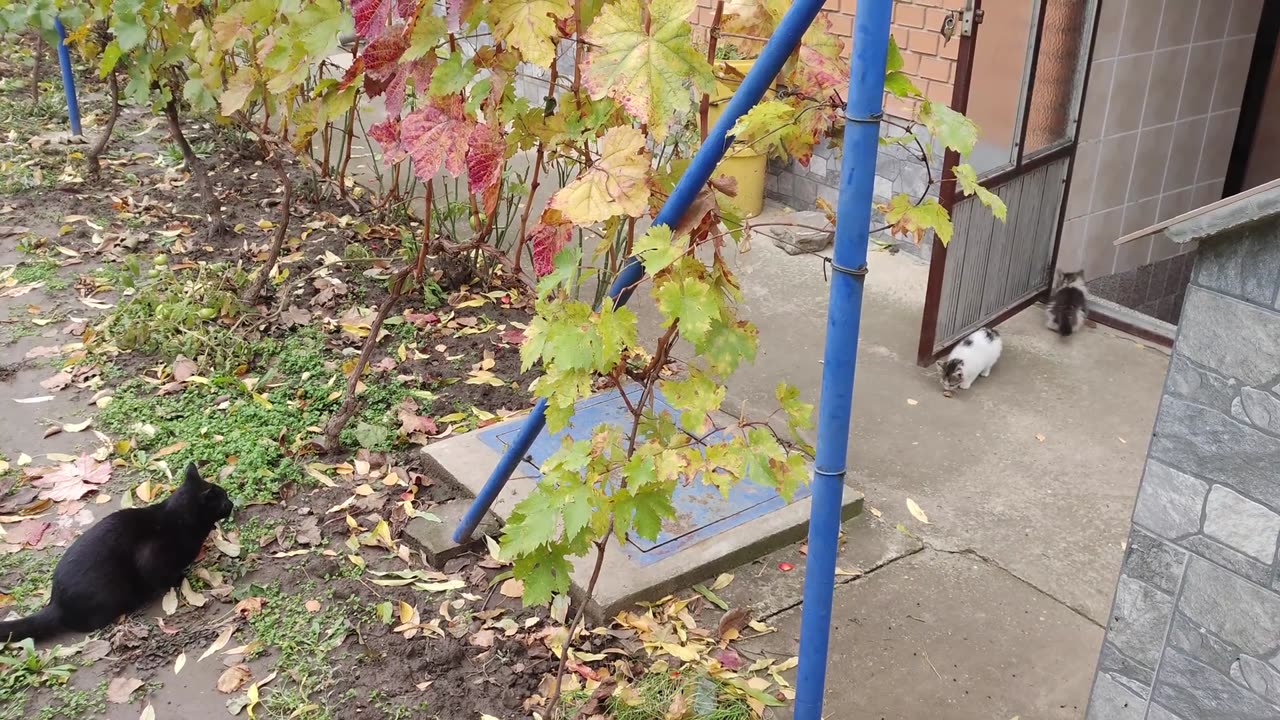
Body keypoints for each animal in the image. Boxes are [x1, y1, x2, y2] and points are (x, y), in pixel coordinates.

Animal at [0, 458, 235, 638]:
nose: (232, 503)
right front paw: (179, 578)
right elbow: (162, 577)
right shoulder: (151, 557)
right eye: (224, 499)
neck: (178, 520)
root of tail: (56, 602)